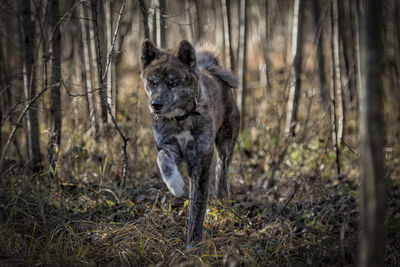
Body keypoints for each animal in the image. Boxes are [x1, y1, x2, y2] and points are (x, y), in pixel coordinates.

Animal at [141, 39, 241, 249]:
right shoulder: (169, 148)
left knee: (222, 170)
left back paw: (221, 197)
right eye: (153, 82)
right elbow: (163, 160)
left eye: (173, 82)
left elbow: (197, 208)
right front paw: (175, 184)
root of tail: (211, 69)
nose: (155, 105)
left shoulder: (200, 163)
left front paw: (193, 245)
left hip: (226, 145)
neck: (181, 118)